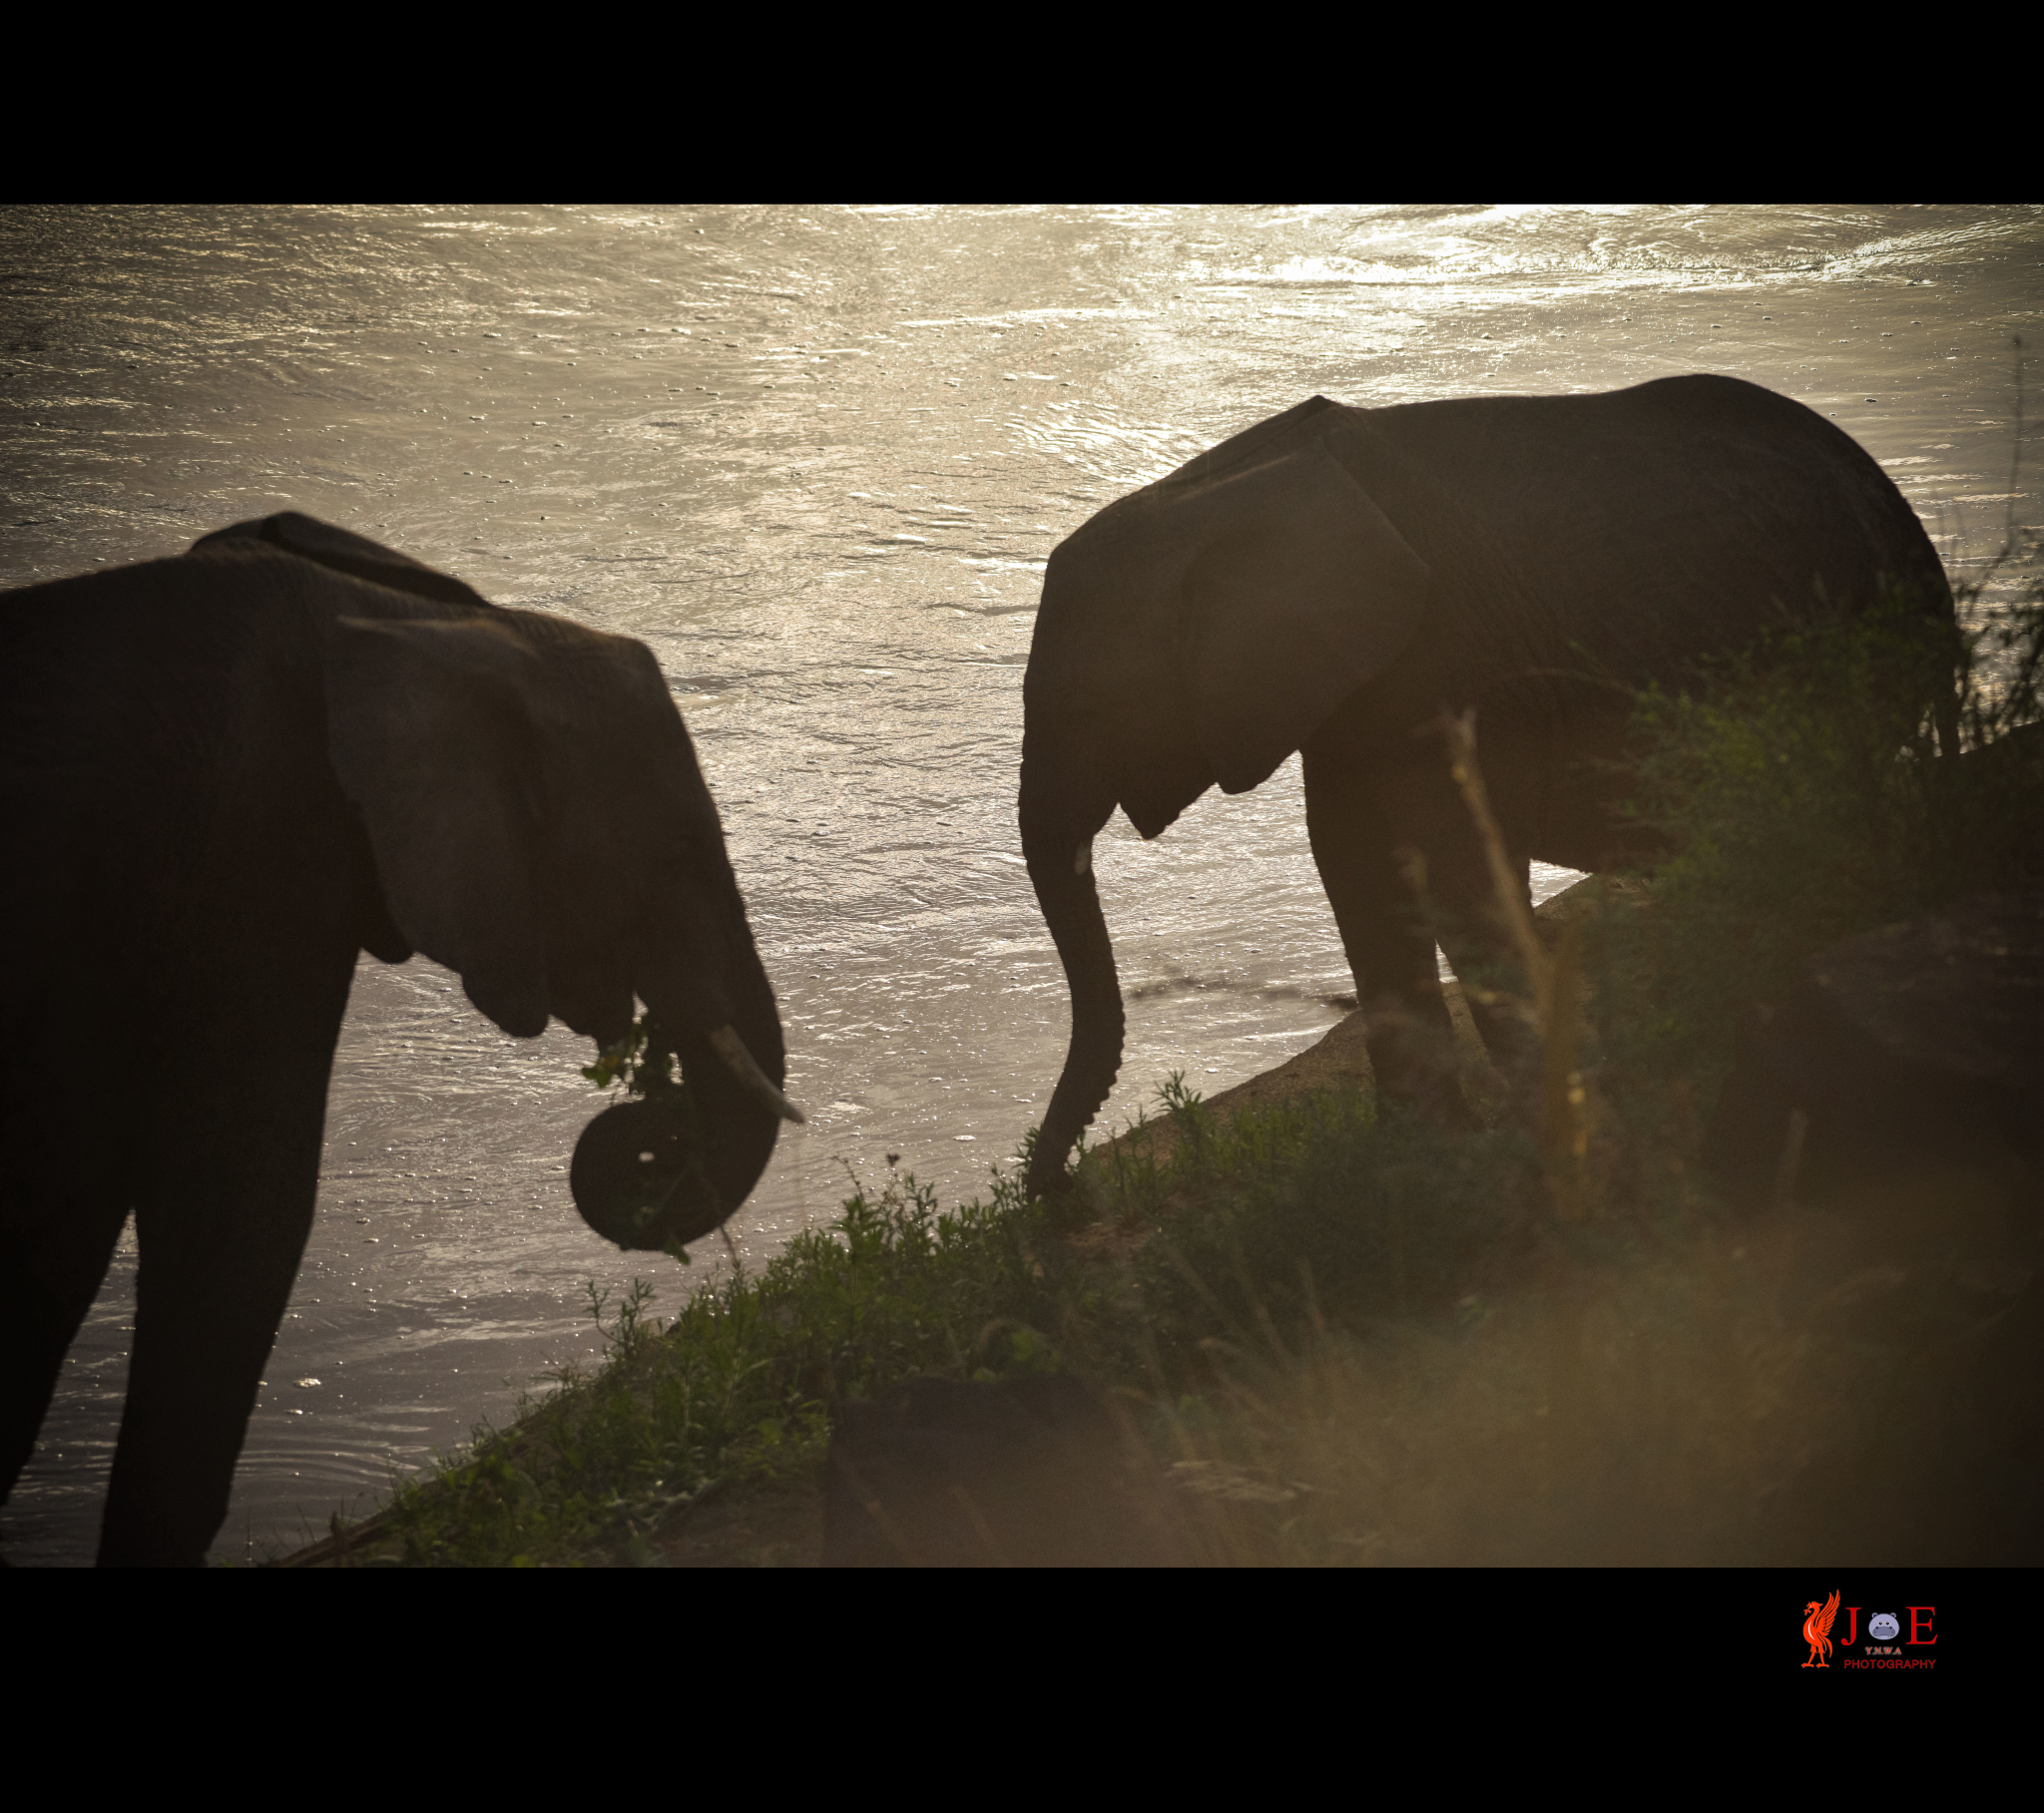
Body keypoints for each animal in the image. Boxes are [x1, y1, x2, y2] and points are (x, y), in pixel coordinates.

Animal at [1022, 373, 1945, 1201]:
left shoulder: (1442, 659)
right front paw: (1425, 1157)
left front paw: (1551, 1136)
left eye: (1084, 708)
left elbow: (1451, 863)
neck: (1203, 494)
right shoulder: (1353, 686)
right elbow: (1355, 867)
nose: (1064, 1195)